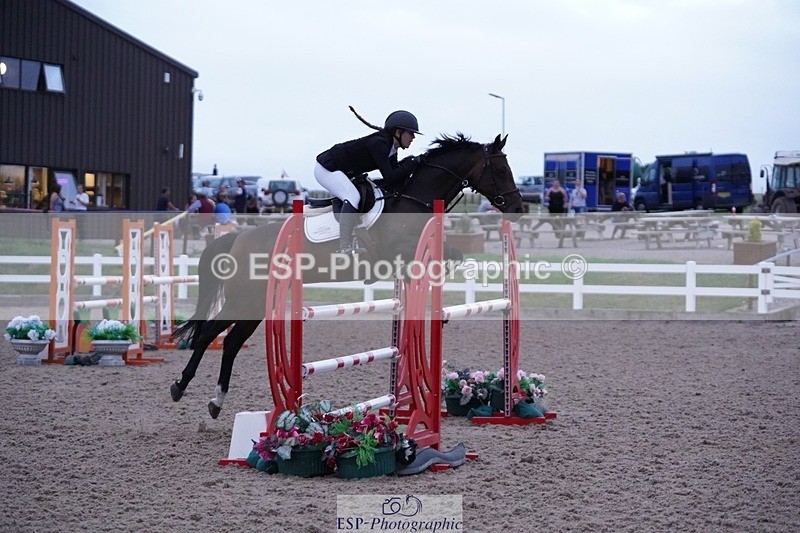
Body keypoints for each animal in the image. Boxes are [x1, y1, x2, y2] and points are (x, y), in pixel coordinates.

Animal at [170, 133, 523, 418]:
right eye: (500, 170)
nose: (518, 207)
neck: (412, 200)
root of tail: (239, 238)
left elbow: (451, 256)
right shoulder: (399, 249)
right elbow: (434, 261)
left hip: (255, 304)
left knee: (230, 342)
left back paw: (215, 402)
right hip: (246, 298)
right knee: (208, 334)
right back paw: (180, 386)